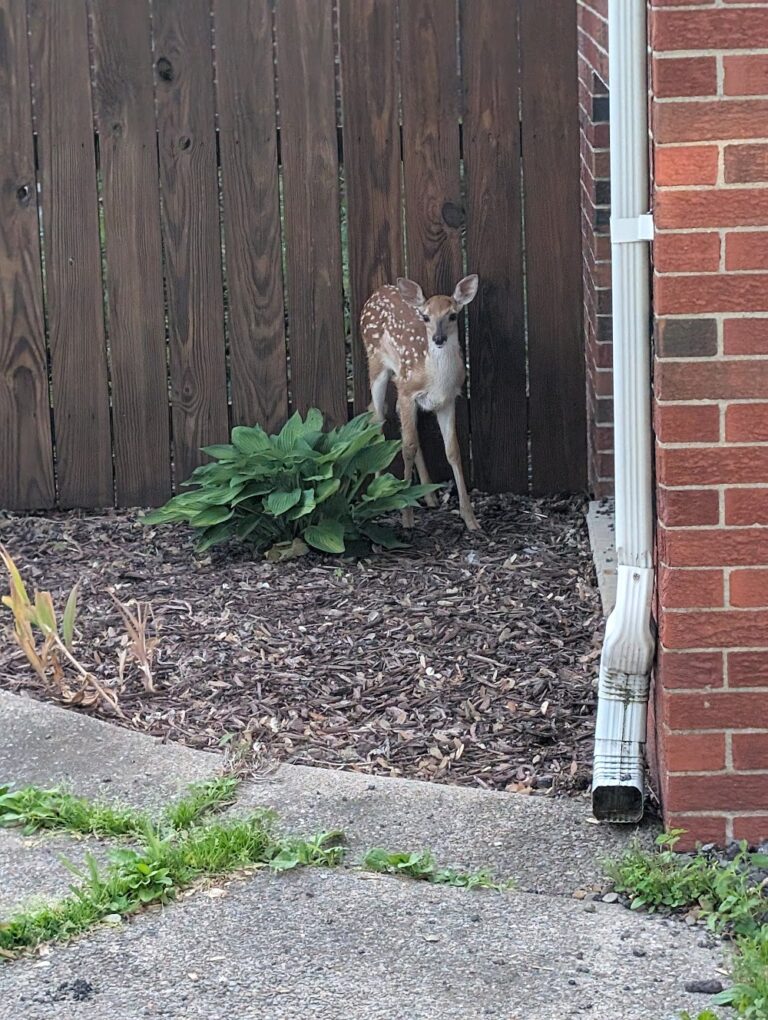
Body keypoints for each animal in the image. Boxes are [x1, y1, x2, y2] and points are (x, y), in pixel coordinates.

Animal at [360, 274, 480, 531]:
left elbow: (453, 451)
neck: (435, 379)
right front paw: (406, 517)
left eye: (452, 315)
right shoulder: (406, 390)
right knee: (376, 416)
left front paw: (470, 518)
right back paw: (377, 492)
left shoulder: (448, 400)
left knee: (387, 413)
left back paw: (429, 496)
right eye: (425, 317)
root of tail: (378, 291)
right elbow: (407, 447)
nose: (438, 338)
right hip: (376, 362)